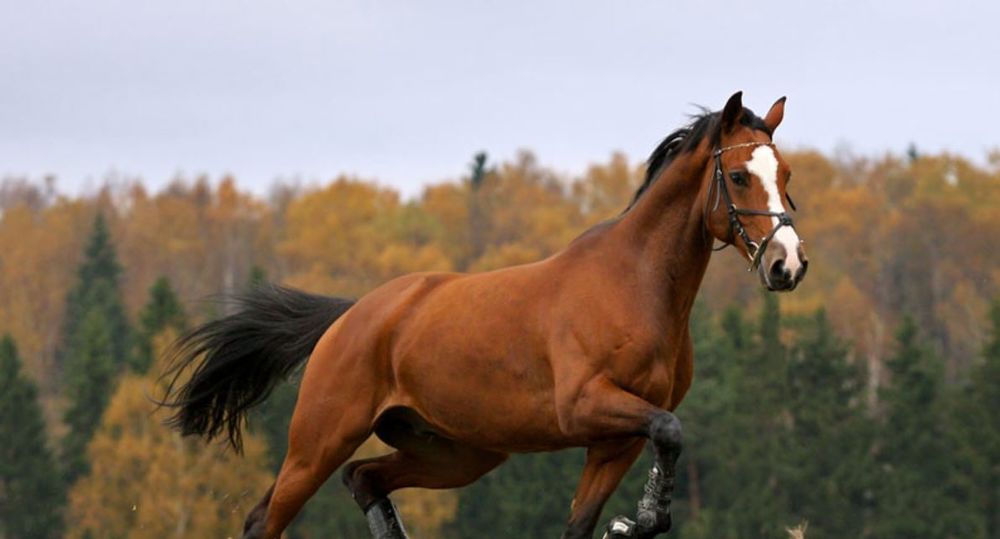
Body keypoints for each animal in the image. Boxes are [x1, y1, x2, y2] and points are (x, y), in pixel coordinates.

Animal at [162, 90, 804, 536]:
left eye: (787, 175)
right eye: (739, 176)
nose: (788, 264)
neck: (636, 286)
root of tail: (352, 316)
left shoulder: (614, 442)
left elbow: (590, 515)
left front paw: (635, 521)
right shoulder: (586, 406)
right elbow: (670, 430)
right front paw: (643, 519)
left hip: (456, 452)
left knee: (364, 478)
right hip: (320, 440)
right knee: (267, 519)